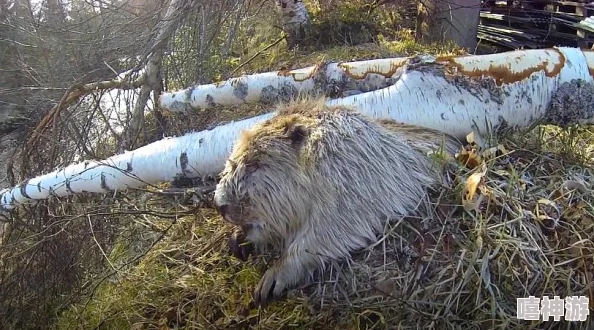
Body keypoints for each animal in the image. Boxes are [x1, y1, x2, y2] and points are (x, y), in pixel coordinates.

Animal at [210, 98, 460, 306]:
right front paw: (238, 240)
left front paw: (271, 280)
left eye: (254, 164)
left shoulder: (352, 178)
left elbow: (333, 228)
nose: (220, 205)